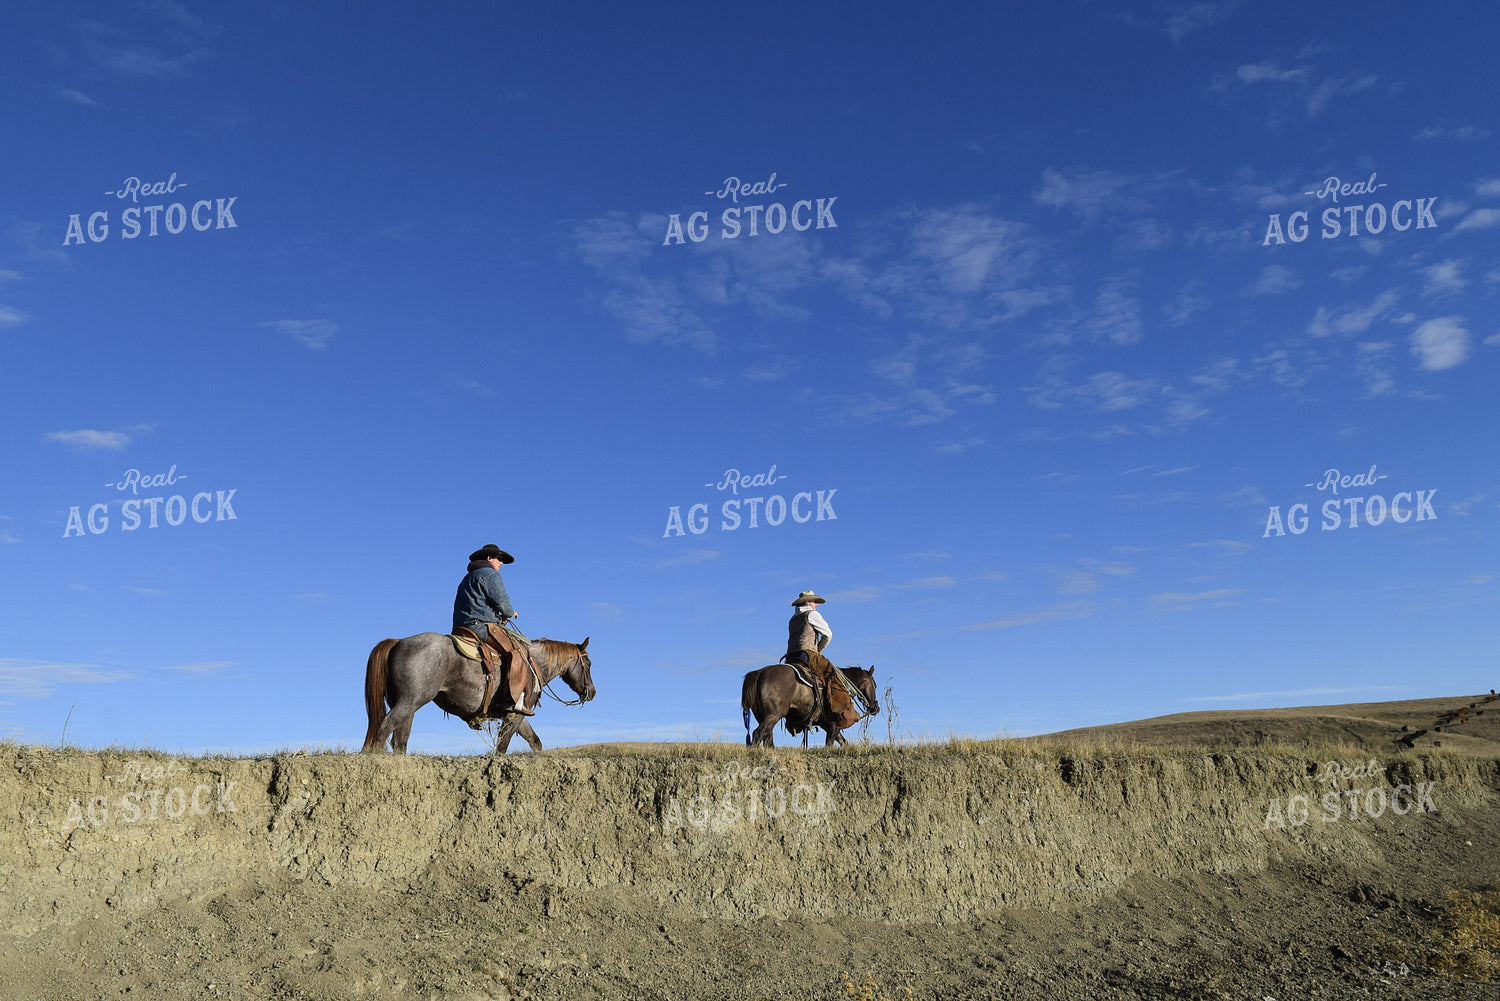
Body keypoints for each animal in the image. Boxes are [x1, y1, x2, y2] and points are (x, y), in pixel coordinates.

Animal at [362, 633, 594, 753]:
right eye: (589, 664)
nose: (592, 692)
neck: (533, 663)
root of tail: (398, 642)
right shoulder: (516, 713)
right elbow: (502, 745)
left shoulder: (519, 714)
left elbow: (535, 741)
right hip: (409, 702)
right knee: (383, 728)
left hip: (409, 706)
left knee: (399, 740)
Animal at [741, 662, 879, 747]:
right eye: (875, 685)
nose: (876, 708)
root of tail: (759, 673)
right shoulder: (833, 726)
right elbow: (829, 744)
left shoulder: (827, 725)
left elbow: (843, 742)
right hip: (773, 716)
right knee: (758, 734)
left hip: (763, 717)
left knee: (767, 738)